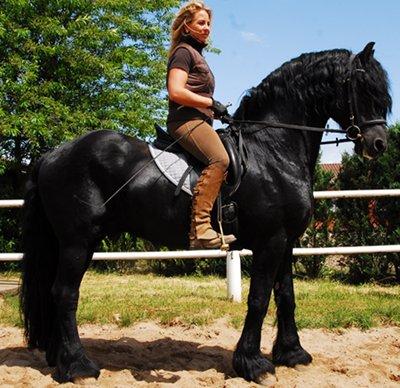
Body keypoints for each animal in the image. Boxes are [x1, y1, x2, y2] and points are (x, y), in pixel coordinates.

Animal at [19, 42, 390, 382]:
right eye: (365, 89)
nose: (379, 144)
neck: (272, 151)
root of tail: (54, 154)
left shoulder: (286, 242)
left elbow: (286, 295)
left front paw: (292, 354)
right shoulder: (269, 241)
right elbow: (258, 299)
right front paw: (253, 364)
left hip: (69, 243)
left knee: (55, 293)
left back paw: (60, 360)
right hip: (77, 241)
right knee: (65, 294)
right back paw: (79, 366)